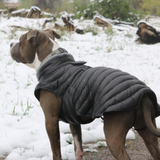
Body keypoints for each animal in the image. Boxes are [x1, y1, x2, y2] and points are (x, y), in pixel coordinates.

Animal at [9, 29, 160, 160]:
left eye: (20, 41)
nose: (10, 43)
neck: (51, 61)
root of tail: (144, 94)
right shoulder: (73, 121)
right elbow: (78, 149)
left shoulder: (51, 121)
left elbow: (56, 152)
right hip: (148, 131)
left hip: (113, 136)